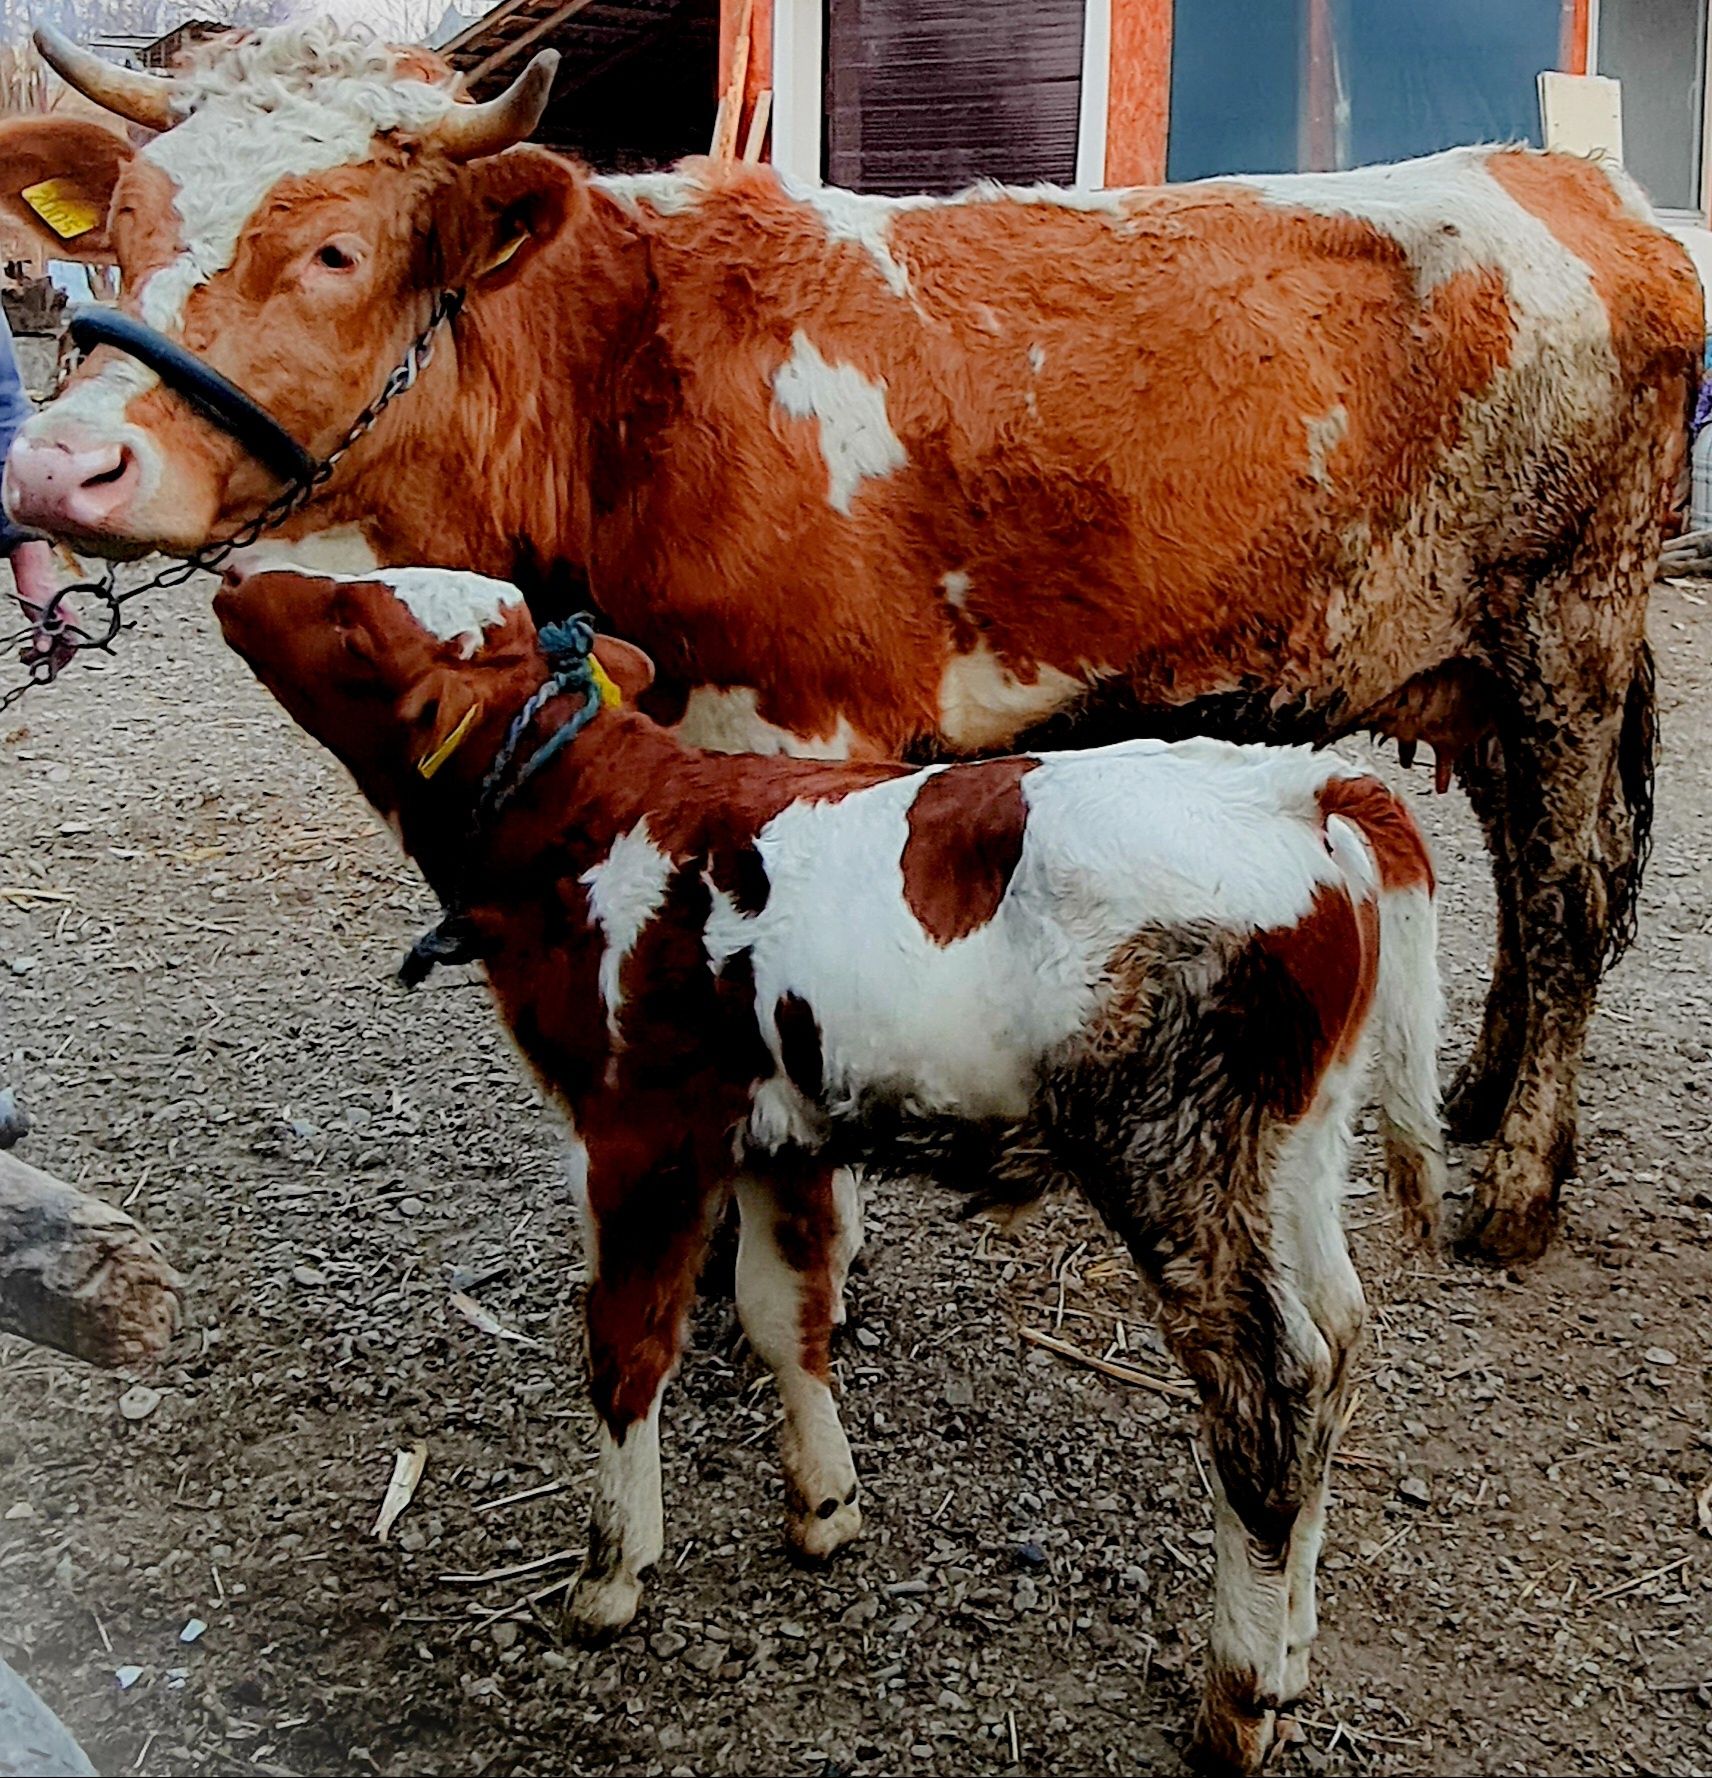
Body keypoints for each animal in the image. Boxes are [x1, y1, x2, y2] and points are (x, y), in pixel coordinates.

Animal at [0, 20, 1699, 1258]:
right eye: (126, 229)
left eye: (337, 252)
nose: (59, 467)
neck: (630, 376)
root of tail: (1576, 185)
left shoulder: (805, 728)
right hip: (1478, 661)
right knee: (1529, 871)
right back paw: (1479, 1093)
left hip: (1566, 623)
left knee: (1564, 894)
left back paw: (1519, 1187)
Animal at [214, 561, 1443, 1770]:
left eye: (352, 623)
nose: (236, 582)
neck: (607, 821)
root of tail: (1306, 786)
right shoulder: (775, 1136)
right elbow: (782, 1314)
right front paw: (823, 1504)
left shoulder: (636, 1131)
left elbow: (627, 1347)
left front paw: (611, 1572)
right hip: (1293, 1152)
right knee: (1336, 1341)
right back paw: (1291, 1646)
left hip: (1175, 1158)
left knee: (1268, 1388)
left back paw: (1236, 1697)